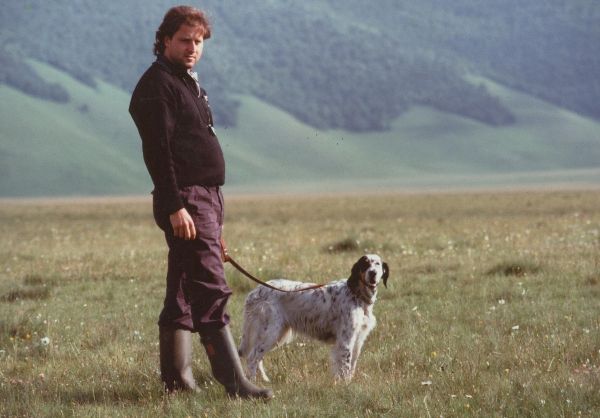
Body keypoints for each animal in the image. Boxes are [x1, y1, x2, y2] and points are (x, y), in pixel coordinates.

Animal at [239, 255, 390, 382]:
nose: (373, 273)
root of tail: (255, 291)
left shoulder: (358, 338)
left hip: (275, 333)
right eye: (365, 264)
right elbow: (345, 367)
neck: (356, 294)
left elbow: (351, 365)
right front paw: (345, 385)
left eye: (377, 264)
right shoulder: (345, 340)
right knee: (252, 358)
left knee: (258, 358)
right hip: (270, 331)